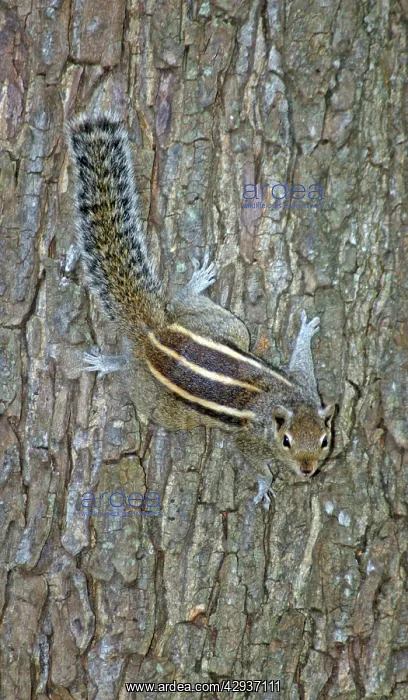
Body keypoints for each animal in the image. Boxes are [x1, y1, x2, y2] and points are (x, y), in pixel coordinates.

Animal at [67, 113, 335, 508]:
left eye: (324, 439)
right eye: (286, 442)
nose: (307, 470)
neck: (280, 404)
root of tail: (155, 335)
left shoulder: (306, 389)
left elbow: (302, 364)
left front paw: (305, 331)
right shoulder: (248, 439)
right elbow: (254, 462)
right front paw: (264, 486)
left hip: (224, 327)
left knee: (184, 305)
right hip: (167, 404)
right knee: (132, 367)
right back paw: (109, 361)